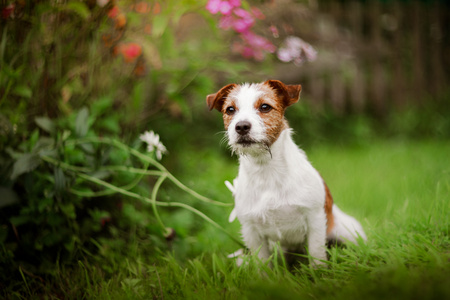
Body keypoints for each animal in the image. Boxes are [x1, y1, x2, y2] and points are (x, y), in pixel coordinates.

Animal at [207, 80, 366, 268]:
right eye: (230, 109)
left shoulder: (315, 221)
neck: (266, 170)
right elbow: (263, 266)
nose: (241, 127)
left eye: (265, 107)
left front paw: (319, 273)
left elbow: (316, 256)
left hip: (348, 230)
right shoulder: (252, 231)